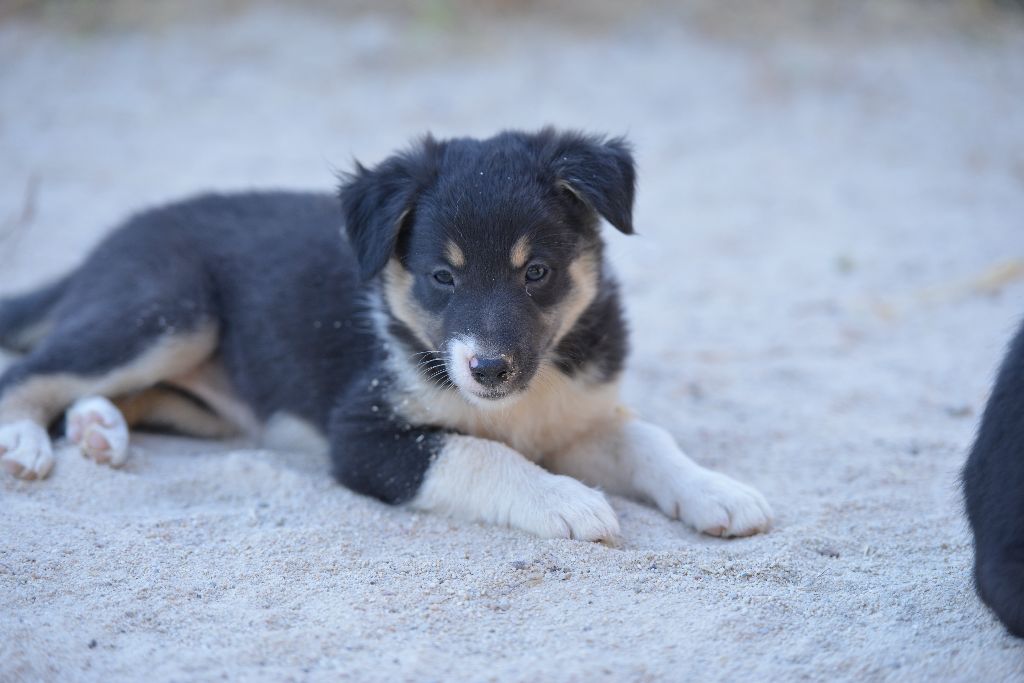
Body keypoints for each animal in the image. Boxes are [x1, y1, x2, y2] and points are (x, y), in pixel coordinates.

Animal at [0, 127, 770, 540]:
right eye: (442, 276)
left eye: (538, 271)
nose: (489, 369)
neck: (526, 393)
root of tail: (110, 242)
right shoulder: (363, 434)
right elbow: (477, 453)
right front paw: (567, 500)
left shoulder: (579, 414)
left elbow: (648, 439)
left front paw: (718, 491)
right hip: (167, 310)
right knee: (31, 372)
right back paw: (25, 443)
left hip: (200, 390)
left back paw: (98, 431)